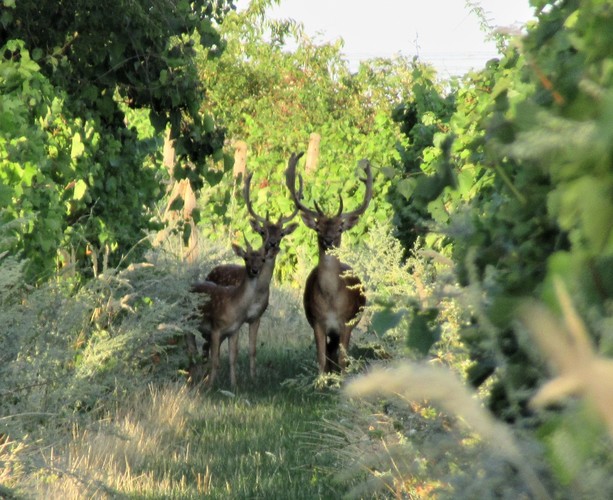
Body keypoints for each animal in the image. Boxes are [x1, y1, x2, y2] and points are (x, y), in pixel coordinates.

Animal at [186, 240, 270, 388]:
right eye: (246, 258)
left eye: (263, 259)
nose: (254, 270)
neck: (234, 304)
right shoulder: (215, 328)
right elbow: (215, 360)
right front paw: (210, 386)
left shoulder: (234, 330)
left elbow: (232, 358)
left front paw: (234, 385)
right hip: (188, 323)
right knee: (192, 349)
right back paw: (193, 379)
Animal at [202, 171, 300, 378]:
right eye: (263, 231)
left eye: (281, 234)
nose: (272, 244)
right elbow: (237, 349)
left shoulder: (256, 317)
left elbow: (252, 349)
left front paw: (253, 377)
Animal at [284, 152, 372, 376]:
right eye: (318, 228)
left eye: (340, 228)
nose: (329, 240)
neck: (332, 300)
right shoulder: (317, 322)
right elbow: (321, 360)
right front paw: (321, 381)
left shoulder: (346, 322)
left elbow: (343, 359)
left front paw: (343, 381)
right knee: (330, 353)